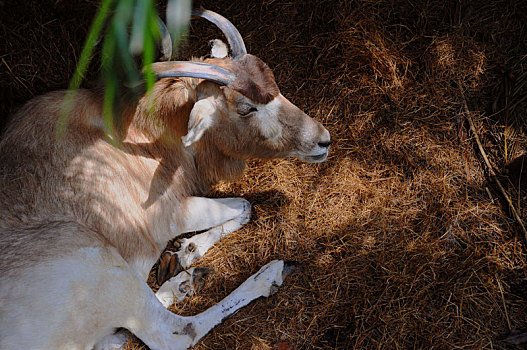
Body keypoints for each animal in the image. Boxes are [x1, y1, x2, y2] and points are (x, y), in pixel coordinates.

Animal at [0, 8, 330, 350]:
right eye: (246, 108)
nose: (322, 140)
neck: (136, 130)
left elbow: (243, 208)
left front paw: (186, 252)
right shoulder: (171, 213)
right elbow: (244, 205)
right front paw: (188, 250)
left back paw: (183, 282)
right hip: (95, 255)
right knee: (174, 332)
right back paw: (267, 275)